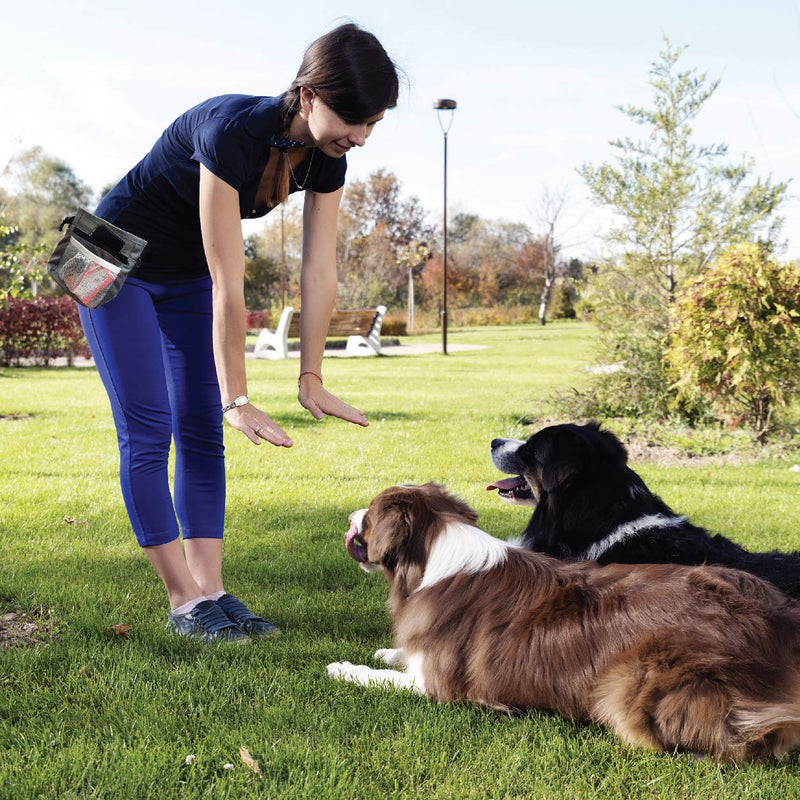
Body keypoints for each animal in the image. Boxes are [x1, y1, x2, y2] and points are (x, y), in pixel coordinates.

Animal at [326, 484, 800, 760]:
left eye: (368, 514)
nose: (347, 518)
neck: (432, 558)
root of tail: (778, 620)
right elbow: (400, 657)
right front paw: (390, 651)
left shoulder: (439, 687)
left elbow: (380, 677)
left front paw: (344, 668)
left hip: (635, 684)